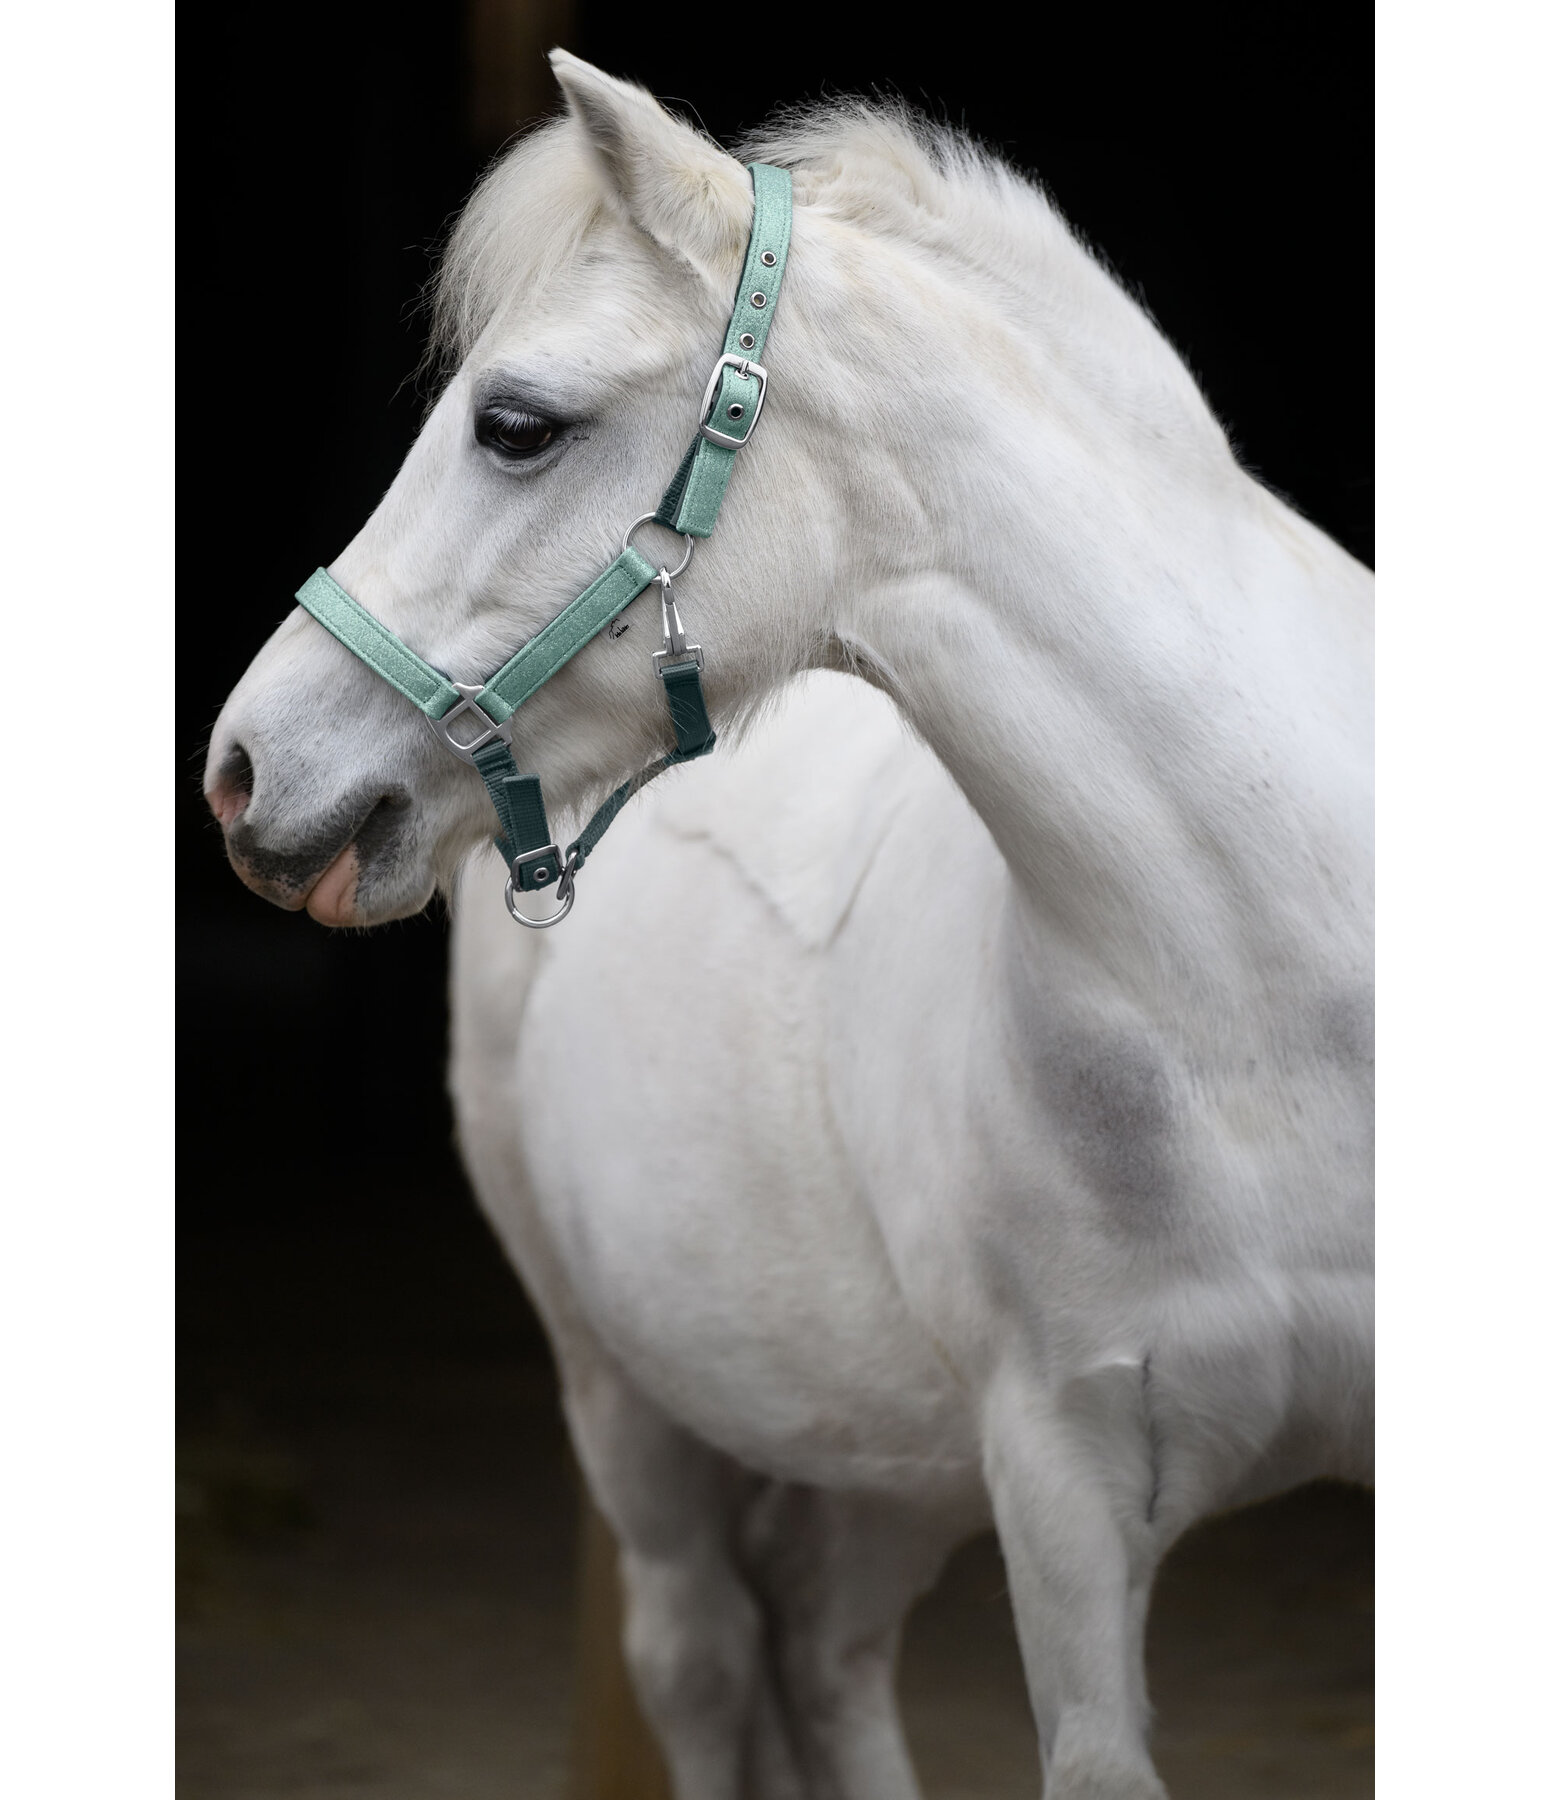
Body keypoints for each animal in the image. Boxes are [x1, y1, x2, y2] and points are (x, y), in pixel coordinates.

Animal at [204, 51, 1373, 1800]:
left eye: (513, 424)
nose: (241, 770)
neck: (1262, 1002)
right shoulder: (1063, 1486)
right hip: (626, 1393)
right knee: (703, 1656)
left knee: (824, 1641)